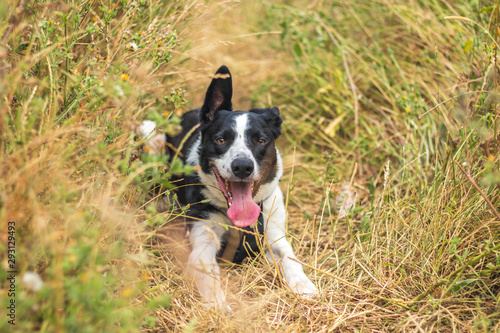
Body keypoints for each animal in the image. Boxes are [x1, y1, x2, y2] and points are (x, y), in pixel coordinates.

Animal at [140, 65, 316, 308]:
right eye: (221, 140)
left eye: (261, 140)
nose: (242, 166)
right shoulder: (203, 245)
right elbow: (210, 278)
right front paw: (219, 307)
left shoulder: (273, 235)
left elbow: (290, 257)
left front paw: (303, 284)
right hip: (150, 135)